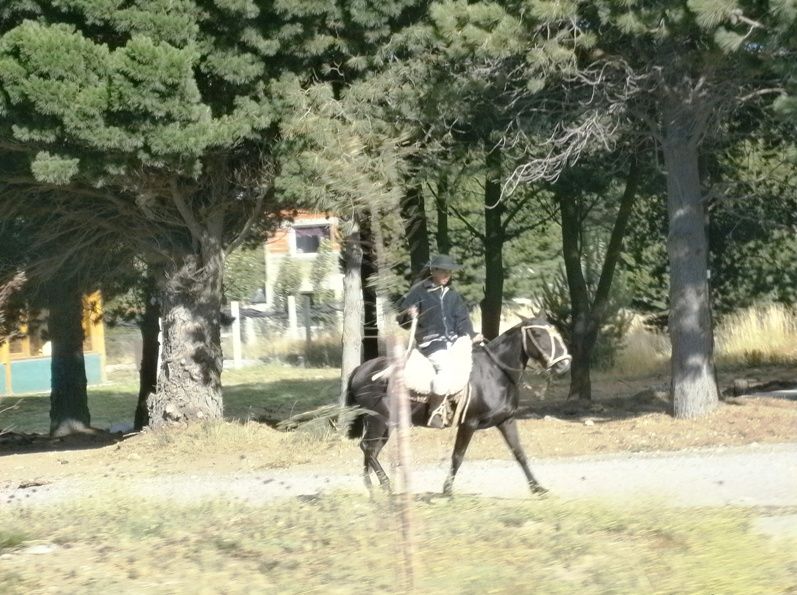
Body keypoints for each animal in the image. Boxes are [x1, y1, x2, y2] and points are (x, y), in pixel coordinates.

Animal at [346, 316, 568, 498]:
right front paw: (447, 490)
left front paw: (538, 488)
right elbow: (458, 456)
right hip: (378, 420)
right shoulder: (469, 423)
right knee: (368, 448)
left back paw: (372, 488)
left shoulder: (506, 421)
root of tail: (361, 369)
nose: (564, 365)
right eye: (537, 334)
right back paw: (385, 485)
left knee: (371, 450)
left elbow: (519, 453)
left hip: (386, 425)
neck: (495, 372)